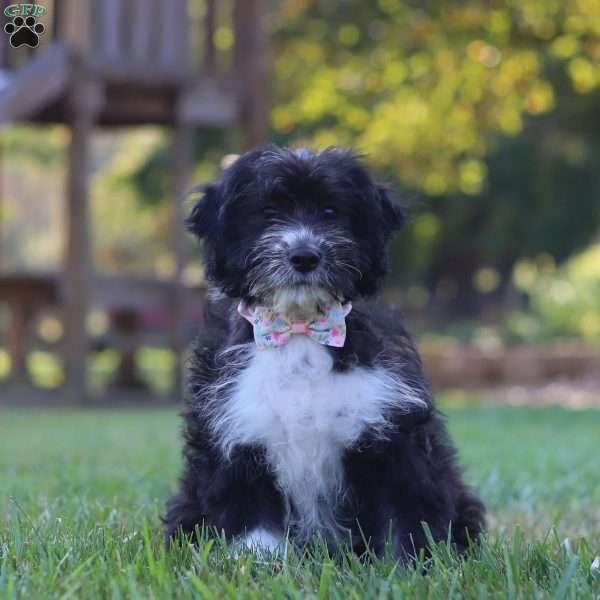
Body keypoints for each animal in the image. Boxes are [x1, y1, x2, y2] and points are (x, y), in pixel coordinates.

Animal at [165, 145, 488, 556]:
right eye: (269, 212)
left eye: (331, 212)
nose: (305, 256)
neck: (300, 329)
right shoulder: (236, 443)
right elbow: (253, 523)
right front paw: (257, 564)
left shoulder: (394, 438)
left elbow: (404, 516)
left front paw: (406, 566)